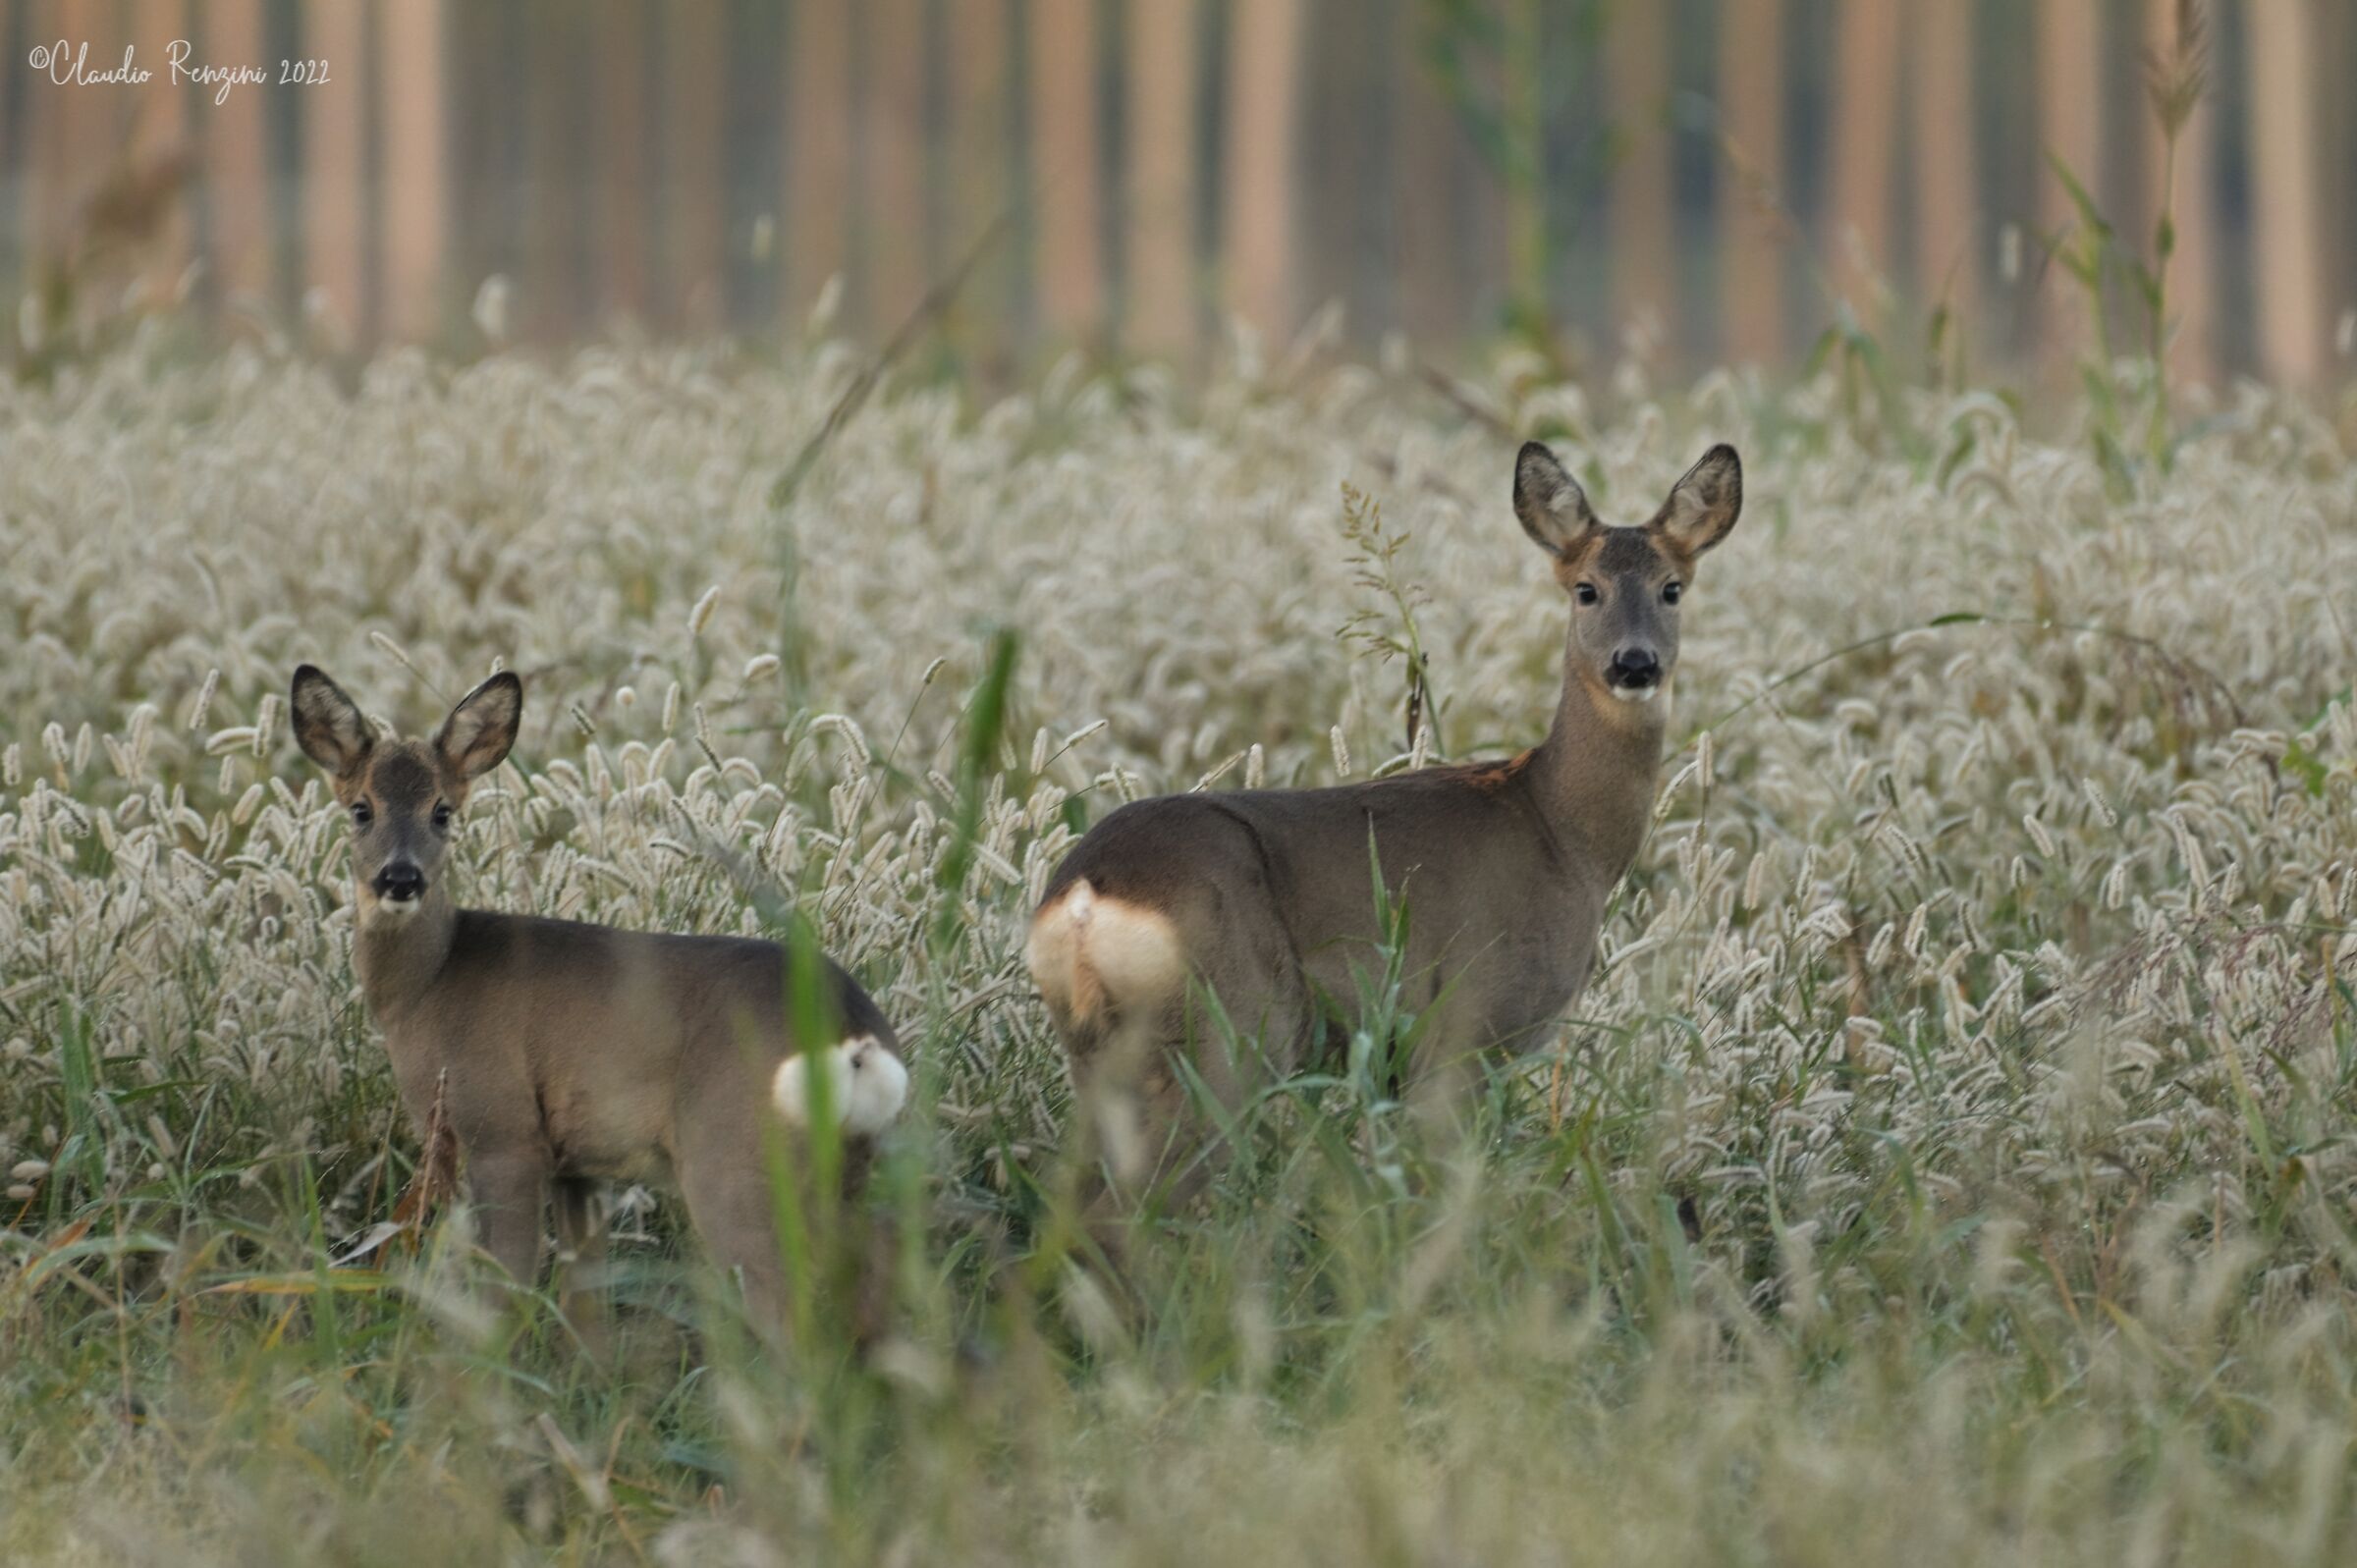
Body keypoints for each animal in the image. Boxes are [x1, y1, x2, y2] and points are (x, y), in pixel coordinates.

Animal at [289, 664, 909, 1344]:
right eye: (361, 809)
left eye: (442, 811)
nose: (400, 879)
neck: (430, 985)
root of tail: (855, 1036)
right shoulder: (575, 1161)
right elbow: (586, 1303)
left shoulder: (502, 1127)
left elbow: (506, 1287)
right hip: (858, 1169)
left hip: (732, 1153)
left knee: (790, 1313)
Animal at [1026, 440, 1742, 1212]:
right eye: (1586, 588)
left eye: (1672, 587)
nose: (1634, 663)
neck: (1561, 831)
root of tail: (1084, 899)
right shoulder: (1464, 1024)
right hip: (1229, 1032)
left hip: (1105, 1054)